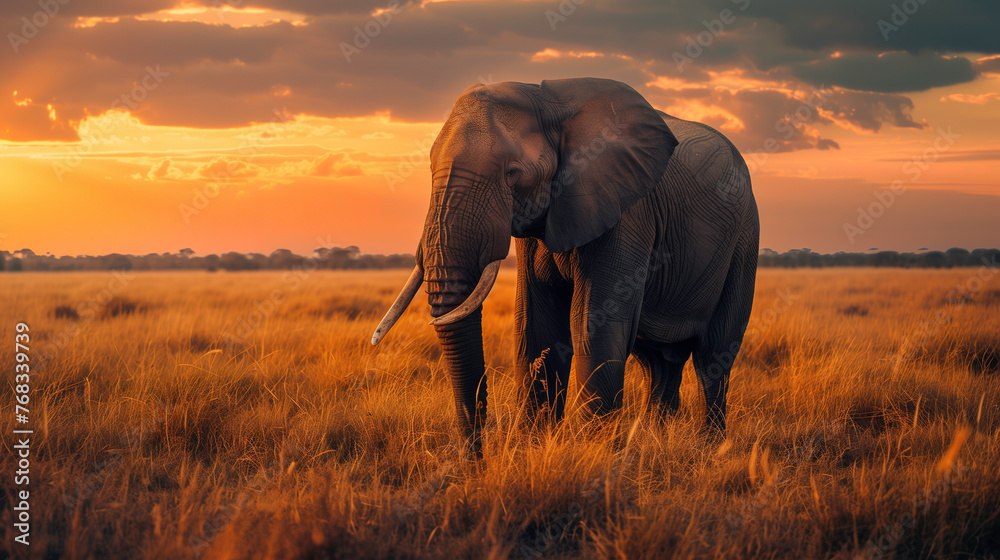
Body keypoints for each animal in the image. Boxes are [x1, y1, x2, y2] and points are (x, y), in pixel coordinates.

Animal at [372, 77, 759, 459]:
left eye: (512, 174)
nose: (476, 459)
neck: (548, 102)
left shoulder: (626, 212)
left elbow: (593, 325)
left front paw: (596, 455)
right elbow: (536, 326)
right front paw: (535, 446)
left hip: (743, 241)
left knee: (713, 356)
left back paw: (710, 449)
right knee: (659, 362)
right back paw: (655, 441)